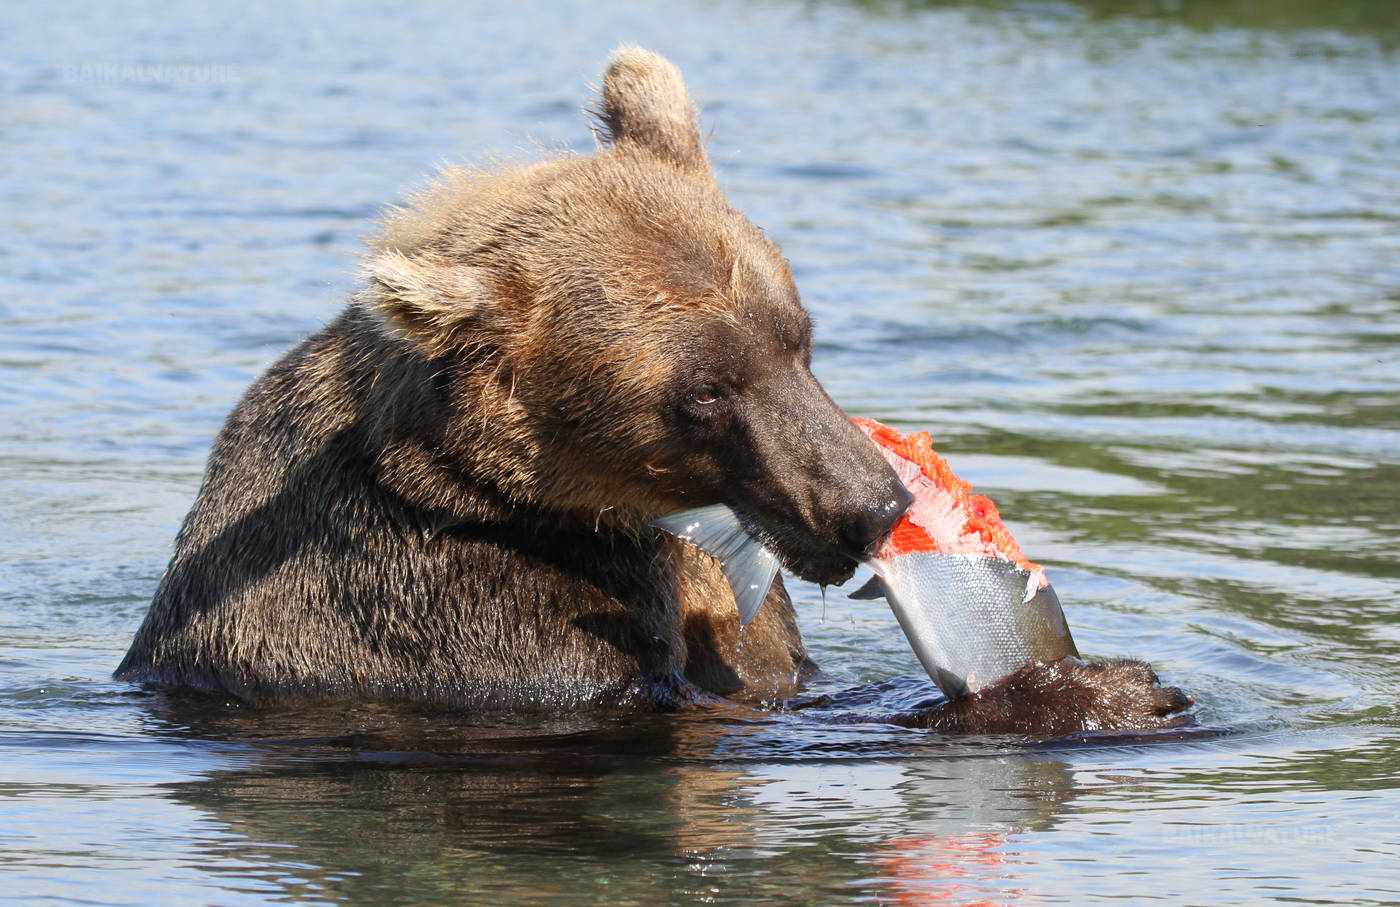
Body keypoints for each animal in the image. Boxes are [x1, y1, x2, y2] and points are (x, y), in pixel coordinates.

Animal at [117, 46, 1192, 733]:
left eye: (798, 338)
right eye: (704, 390)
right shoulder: (468, 623)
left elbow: (785, 672)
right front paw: (1104, 687)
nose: (869, 505)